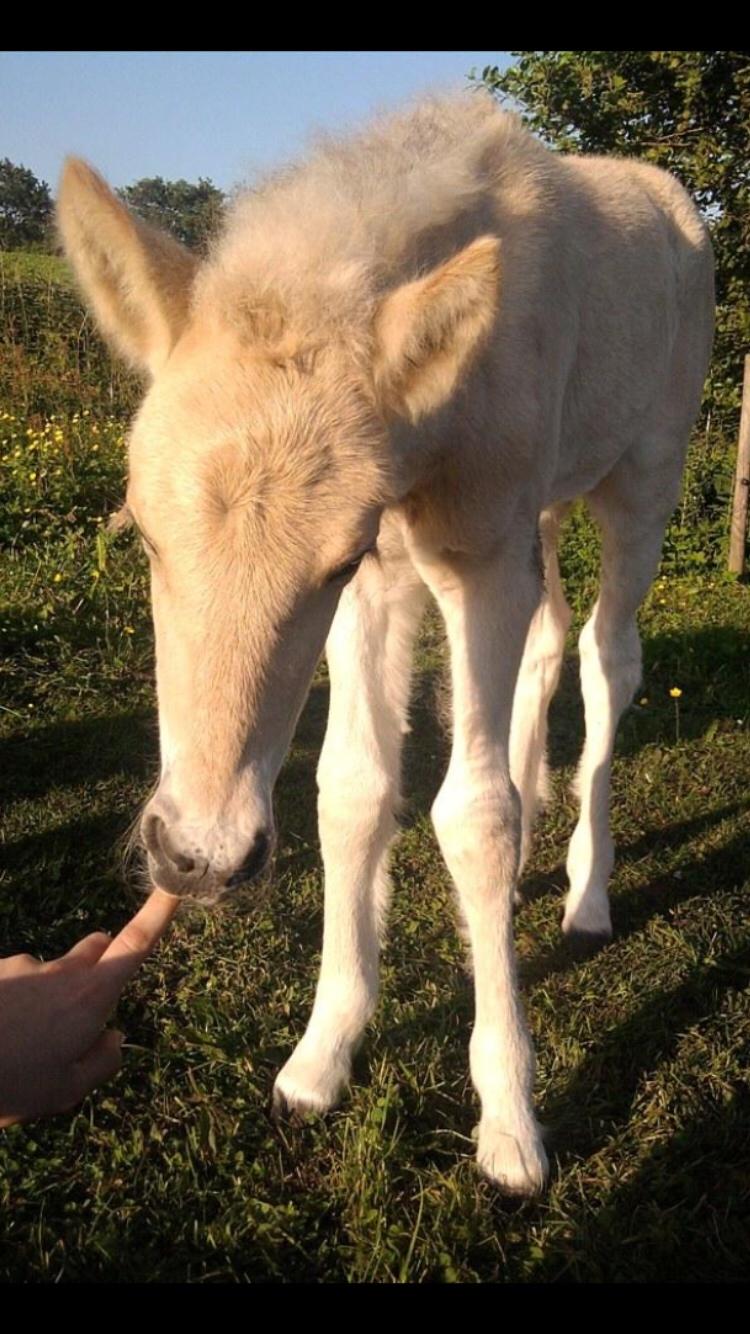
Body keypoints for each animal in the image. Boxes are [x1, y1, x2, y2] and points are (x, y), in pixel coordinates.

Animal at [58, 96, 709, 1200]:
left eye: (328, 559)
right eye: (141, 531)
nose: (197, 856)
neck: (429, 438)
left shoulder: (456, 553)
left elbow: (472, 816)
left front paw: (510, 1121)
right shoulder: (399, 575)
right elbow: (354, 791)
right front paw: (319, 1056)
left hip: (644, 474)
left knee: (606, 654)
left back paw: (586, 888)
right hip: (540, 509)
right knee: (545, 642)